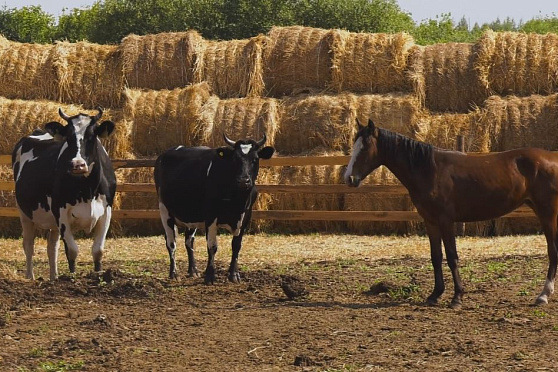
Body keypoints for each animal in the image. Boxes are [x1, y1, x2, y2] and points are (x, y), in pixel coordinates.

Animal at [12, 107, 117, 280]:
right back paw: (30, 277)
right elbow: (72, 250)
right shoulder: (61, 214)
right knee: (28, 244)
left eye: (91, 136)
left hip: (51, 222)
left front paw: (98, 275)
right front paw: (72, 277)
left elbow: (98, 250)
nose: (77, 164)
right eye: (68, 137)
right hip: (24, 213)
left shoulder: (106, 212)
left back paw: (54, 277)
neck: (87, 190)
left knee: (52, 247)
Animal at [154, 134, 276, 282]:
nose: (243, 181)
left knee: (189, 241)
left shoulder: (246, 216)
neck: (237, 201)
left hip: (192, 215)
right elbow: (212, 246)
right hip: (165, 211)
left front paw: (234, 275)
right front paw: (210, 276)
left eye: (255, 159)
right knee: (171, 243)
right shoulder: (211, 215)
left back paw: (193, 270)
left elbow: (236, 246)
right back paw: (174, 273)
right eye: (235, 159)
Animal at [346, 119, 558, 308]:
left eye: (365, 147)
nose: (349, 178)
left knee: (553, 251)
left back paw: (543, 295)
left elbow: (451, 256)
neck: (429, 169)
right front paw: (435, 295)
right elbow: (436, 256)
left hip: (547, 214)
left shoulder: (446, 221)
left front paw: (457, 298)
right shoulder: (430, 221)